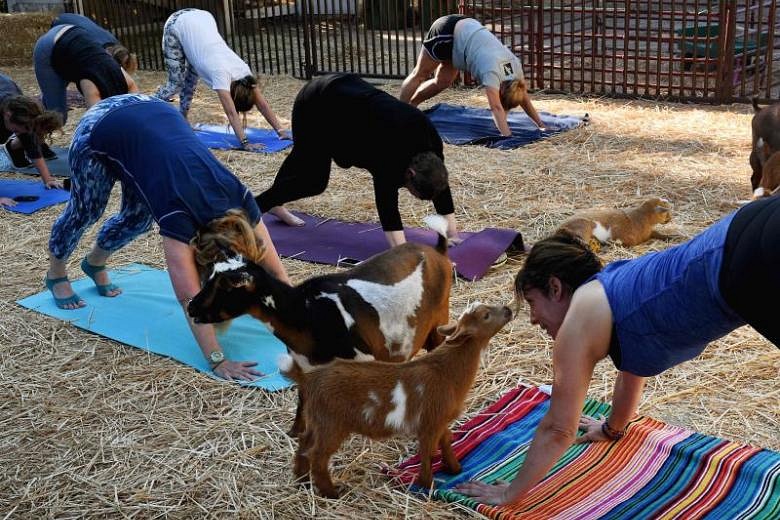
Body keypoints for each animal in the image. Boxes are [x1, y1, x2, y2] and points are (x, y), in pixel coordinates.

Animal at [187, 215, 450, 434]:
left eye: (226, 286)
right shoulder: (306, 370)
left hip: (439, 321)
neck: (305, 313)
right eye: (210, 275)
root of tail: (437, 249)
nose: (190, 307)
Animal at [278, 302, 512, 498]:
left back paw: (302, 480)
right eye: (486, 315)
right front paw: (428, 485)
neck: (446, 370)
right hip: (331, 425)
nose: (508, 310)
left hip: (317, 420)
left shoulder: (440, 420)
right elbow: (428, 452)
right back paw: (331, 492)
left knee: (304, 443)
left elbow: (446, 440)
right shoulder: (430, 423)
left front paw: (455, 469)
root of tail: (309, 378)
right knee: (318, 456)